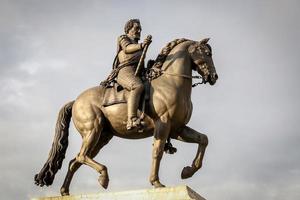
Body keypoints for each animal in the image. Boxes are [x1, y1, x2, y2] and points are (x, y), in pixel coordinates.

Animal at [34, 37, 218, 195]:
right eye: (207, 53)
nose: (214, 77)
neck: (171, 82)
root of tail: (76, 101)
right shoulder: (163, 124)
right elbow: (157, 151)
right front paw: (156, 182)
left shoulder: (177, 129)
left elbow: (203, 139)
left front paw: (187, 171)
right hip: (93, 130)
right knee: (81, 156)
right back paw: (103, 177)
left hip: (102, 137)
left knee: (75, 162)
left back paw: (65, 191)